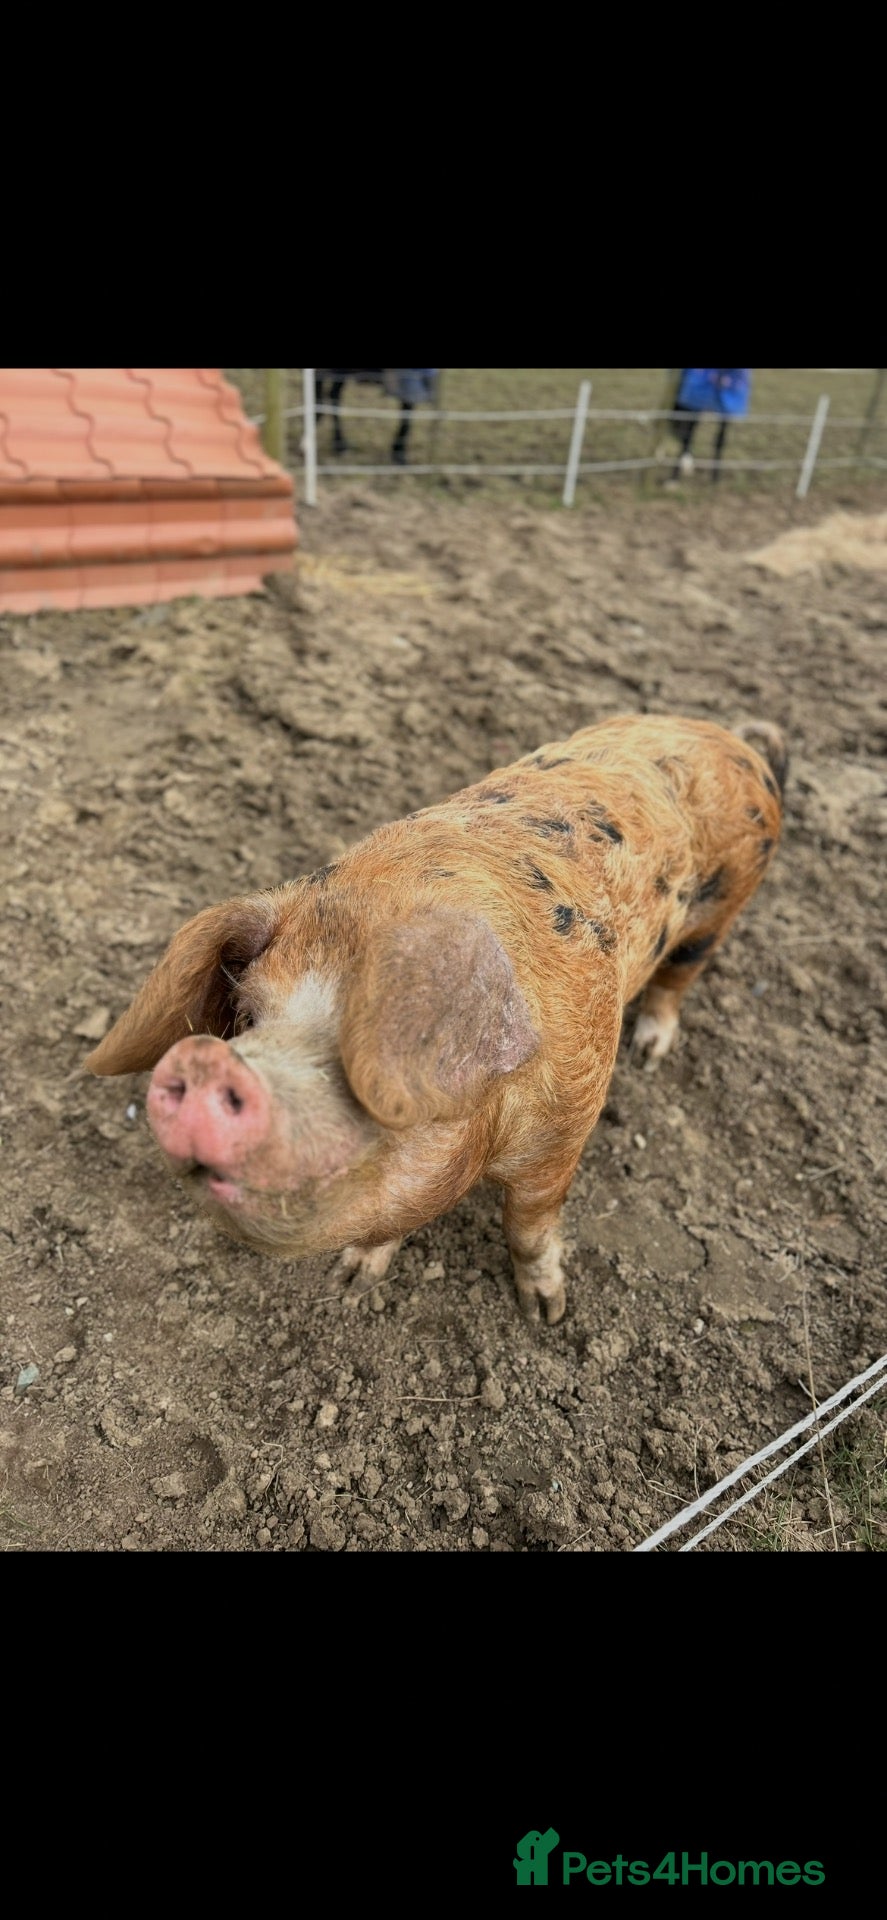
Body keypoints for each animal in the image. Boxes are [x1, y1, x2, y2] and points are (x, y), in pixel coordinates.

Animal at [85, 714, 787, 1324]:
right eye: (251, 1016)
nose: (207, 1060)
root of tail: (730, 739)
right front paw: (349, 1283)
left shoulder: (570, 1127)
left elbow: (530, 1225)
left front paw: (548, 1314)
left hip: (726, 902)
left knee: (679, 976)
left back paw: (651, 1050)